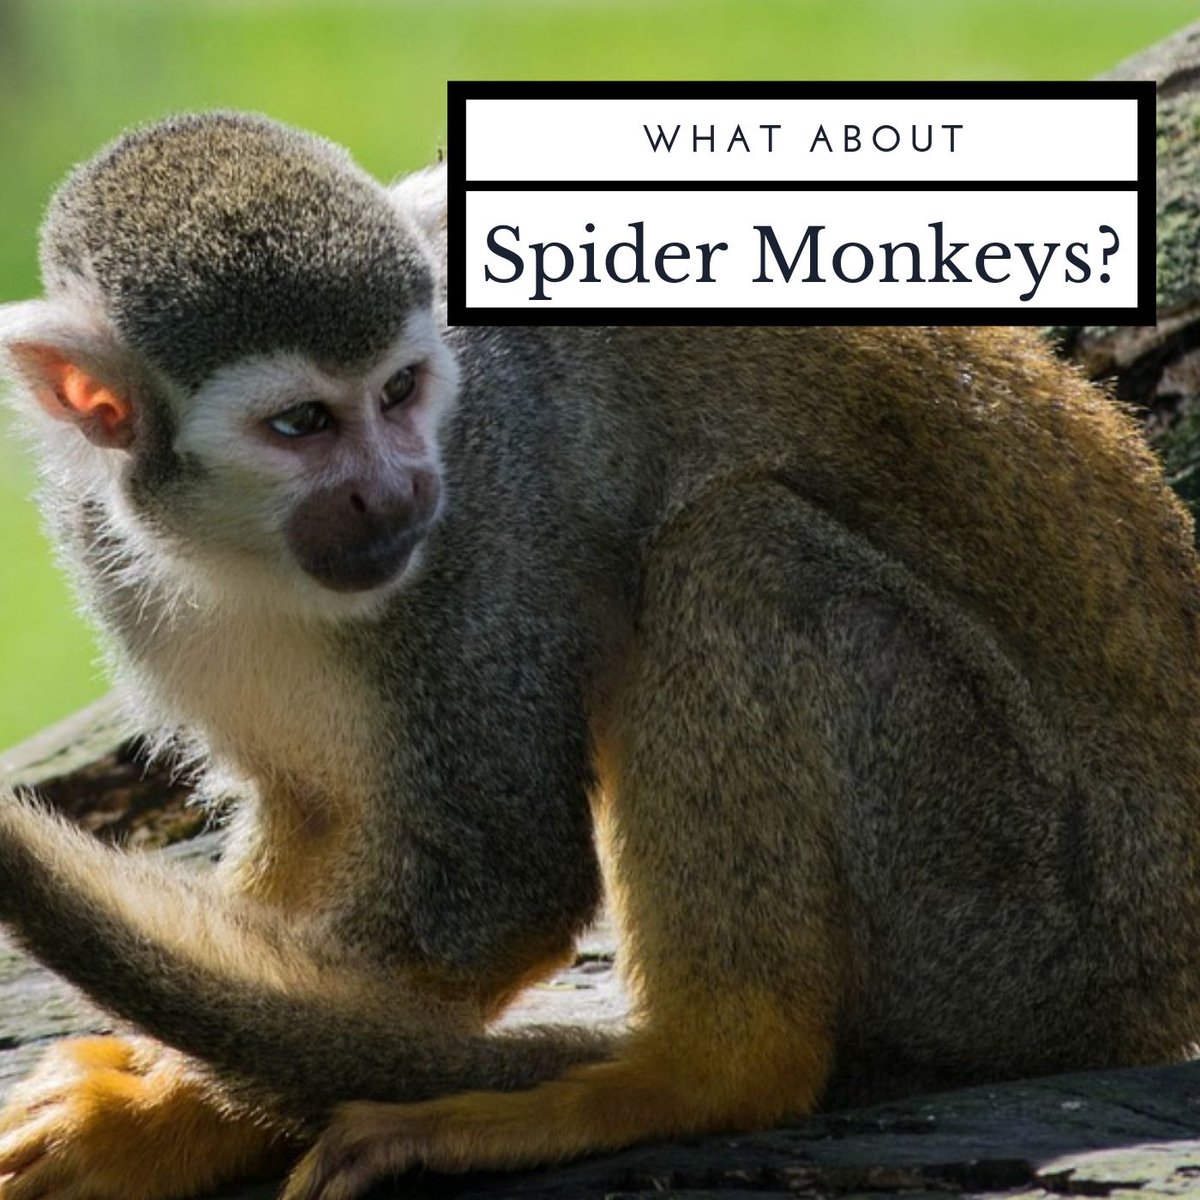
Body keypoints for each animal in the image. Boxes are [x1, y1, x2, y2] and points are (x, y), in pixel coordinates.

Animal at [0, 110, 1199, 1200]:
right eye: (302, 424)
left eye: (400, 393)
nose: (398, 492)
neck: (238, 549)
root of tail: (1160, 985)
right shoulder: (108, 542)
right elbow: (311, 813)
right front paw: (163, 1101)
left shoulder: (488, 515)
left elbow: (499, 887)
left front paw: (170, 1113)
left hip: (1012, 921)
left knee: (736, 553)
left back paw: (696, 1074)